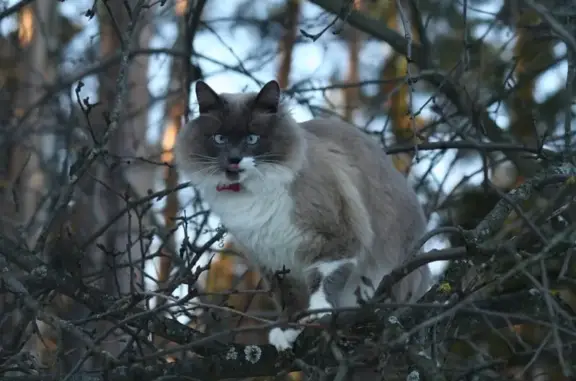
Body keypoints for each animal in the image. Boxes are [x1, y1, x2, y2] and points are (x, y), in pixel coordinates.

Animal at [176, 79, 432, 350]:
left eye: (252, 138)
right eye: (220, 139)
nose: (234, 160)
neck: (249, 197)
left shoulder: (336, 239)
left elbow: (323, 282)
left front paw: (318, 314)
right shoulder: (273, 261)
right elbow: (289, 300)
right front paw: (288, 329)